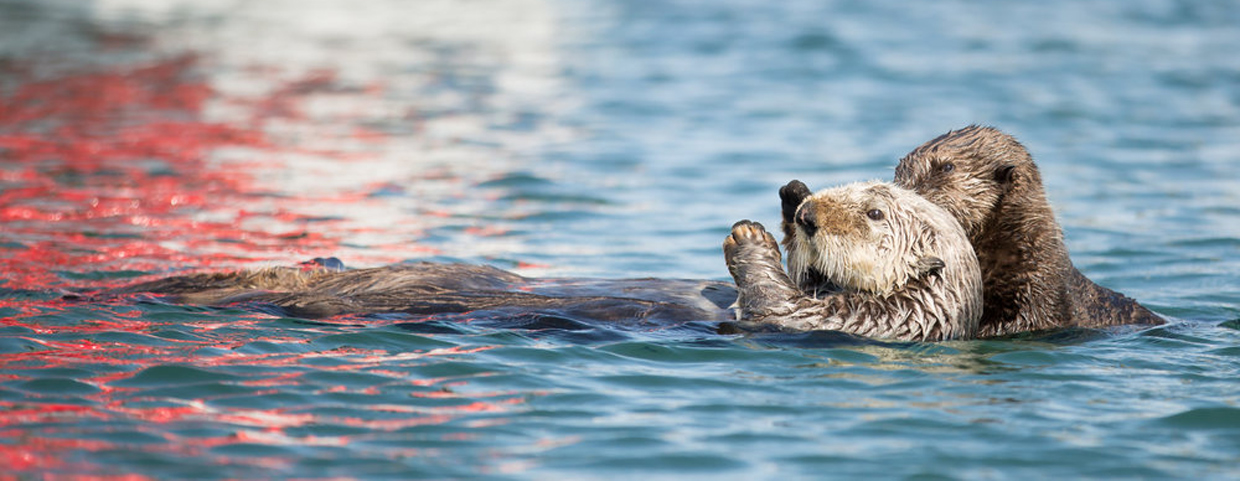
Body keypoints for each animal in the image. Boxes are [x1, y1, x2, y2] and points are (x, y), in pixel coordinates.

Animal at [724, 180, 977, 342]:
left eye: (875, 213)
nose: (806, 215)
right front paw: (795, 193)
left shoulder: (872, 319)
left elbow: (781, 307)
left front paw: (750, 239)